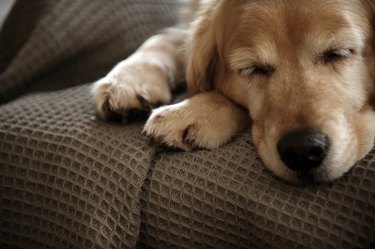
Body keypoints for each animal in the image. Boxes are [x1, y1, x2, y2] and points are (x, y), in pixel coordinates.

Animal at [91, 0, 375, 183]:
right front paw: (128, 80)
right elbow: (164, 38)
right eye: (253, 69)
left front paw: (193, 111)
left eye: (338, 53)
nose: (302, 151)